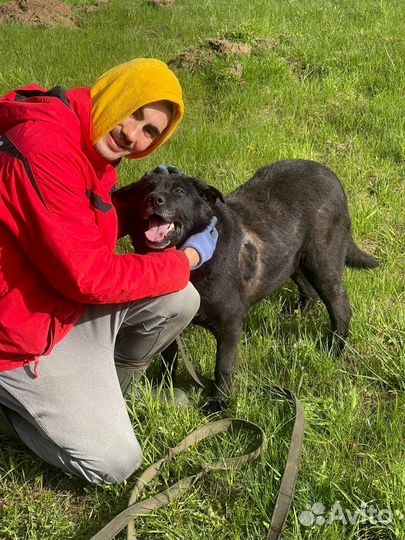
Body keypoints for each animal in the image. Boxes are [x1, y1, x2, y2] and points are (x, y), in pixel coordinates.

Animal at [112, 160, 378, 410]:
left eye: (178, 191)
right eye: (146, 187)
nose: (154, 199)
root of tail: (330, 174)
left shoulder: (230, 325)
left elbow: (223, 367)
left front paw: (218, 403)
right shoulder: (174, 325)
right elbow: (168, 359)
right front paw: (163, 387)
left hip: (322, 263)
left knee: (341, 308)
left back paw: (335, 348)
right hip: (292, 260)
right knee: (308, 290)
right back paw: (296, 312)